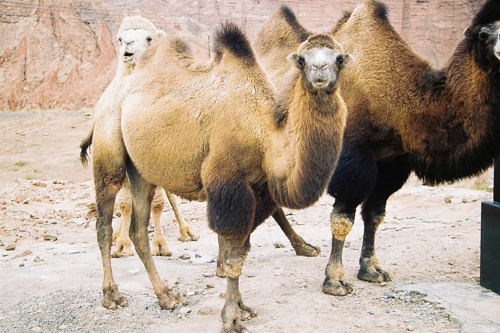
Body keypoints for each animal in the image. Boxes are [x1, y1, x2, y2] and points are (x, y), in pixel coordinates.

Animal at [85, 22, 352, 330]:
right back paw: (111, 295)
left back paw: (166, 296)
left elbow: (239, 251)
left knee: (138, 230)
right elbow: (233, 257)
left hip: (141, 171)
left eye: (339, 59)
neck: (264, 134)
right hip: (109, 147)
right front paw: (231, 318)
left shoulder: (257, 191)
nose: (320, 71)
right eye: (301, 60)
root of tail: (107, 94)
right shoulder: (227, 181)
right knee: (103, 223)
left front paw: (242, 307)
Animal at [256, 0, 500, 296]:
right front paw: (335, 281)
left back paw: (303, 247)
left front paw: (371, 270)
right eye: (484, 34)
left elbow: (374, 215)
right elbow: (343, 219)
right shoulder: (352, 156)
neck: (400, 100)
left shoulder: (392, 161)